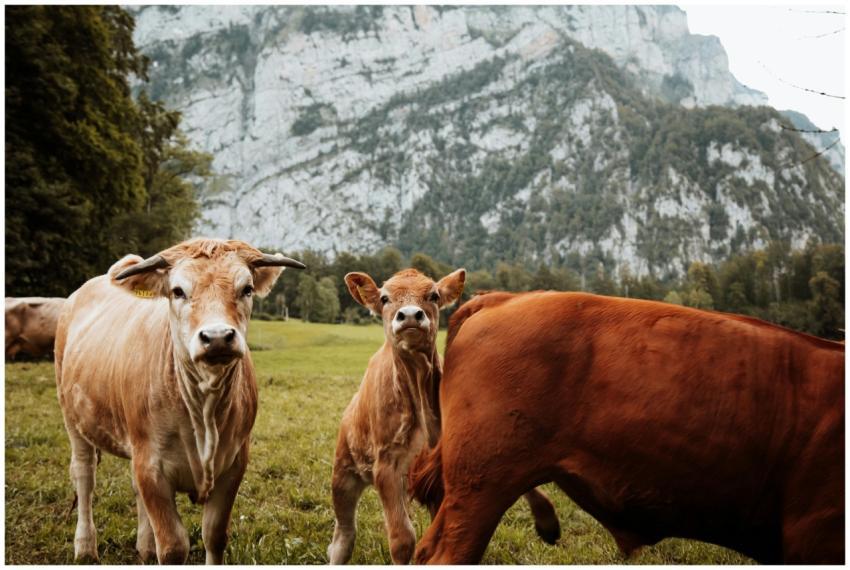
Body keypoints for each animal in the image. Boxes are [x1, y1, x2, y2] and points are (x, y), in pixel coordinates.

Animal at [54, 238, 304, 564]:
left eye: (247, 289)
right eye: (177, 291)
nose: (217, 337)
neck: (204, 408)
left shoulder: (233, 465)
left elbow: (214, 536)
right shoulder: (152, 467)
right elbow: (173, 546)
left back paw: (145, 545)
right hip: (73, 417)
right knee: (84, 475)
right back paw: (85, 547)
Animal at [328, 269, 560, 565]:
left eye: (434, 295)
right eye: (384, 298)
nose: (410, 315)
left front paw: (547, 521)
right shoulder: (386, 465)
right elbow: (402, 540)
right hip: (344, 473)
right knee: (344, 535)